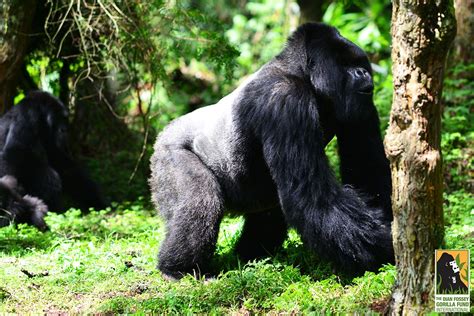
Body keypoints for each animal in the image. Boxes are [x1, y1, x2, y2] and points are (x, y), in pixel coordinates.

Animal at [0, 90, 106, 228]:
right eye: (60, 118)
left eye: (65, 119)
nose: (64, 130)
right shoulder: (28, 114)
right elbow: (16, 153)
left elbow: (67, 168)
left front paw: (97, 202)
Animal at [150, 22, 394, 278]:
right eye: (345, 64)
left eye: (360, 63)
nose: (363, 73)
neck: (301, 74)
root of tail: (165, 131)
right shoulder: (286, 99)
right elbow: (313, 197)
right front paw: (385, 248)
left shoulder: (361, 103)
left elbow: (366, 170)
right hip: (167, 154)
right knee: (200, 200)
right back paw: (177, 269)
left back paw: (250, 255)